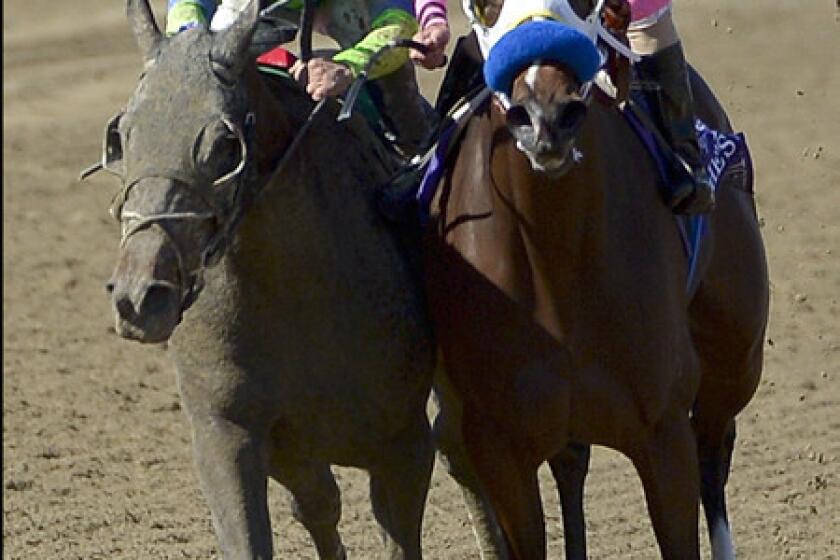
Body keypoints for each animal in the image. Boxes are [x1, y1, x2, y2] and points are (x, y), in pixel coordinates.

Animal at [426, 2, 768, 556]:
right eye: (484, 9)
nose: (546, 117)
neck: (556, 255)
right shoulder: (499, 445)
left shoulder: (662, 431)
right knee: (572, 464)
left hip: (736, 355)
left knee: (714, 450)